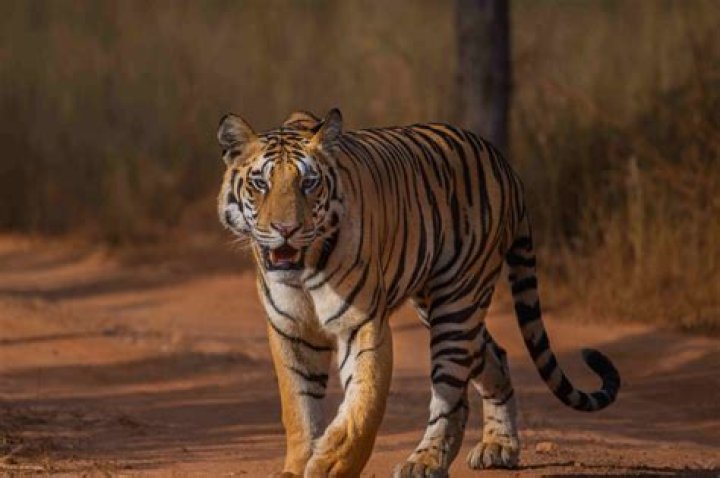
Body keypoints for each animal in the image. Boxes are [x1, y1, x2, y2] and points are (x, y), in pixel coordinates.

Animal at [216, 108, 620, 477]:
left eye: (309, 183)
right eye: (260, 184)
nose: (286, 229)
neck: (304, 269)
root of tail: (503, 164)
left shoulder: (360, 324)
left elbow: (363, 406)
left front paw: (332, 463)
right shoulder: (290, 331)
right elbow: (299, 408)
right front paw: (299, 465)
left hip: (458, 303)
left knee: (450, 393)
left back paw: (425, 462)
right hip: (439, 304)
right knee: (495, 356)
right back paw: (498, 446)